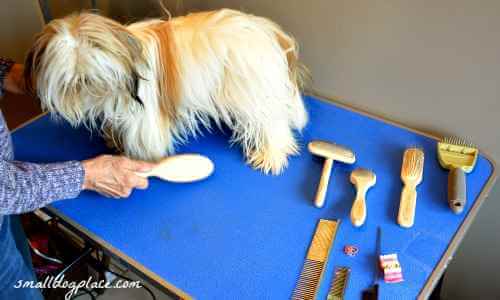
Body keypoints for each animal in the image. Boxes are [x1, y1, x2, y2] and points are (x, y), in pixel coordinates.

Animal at [26, 9, 308, 175]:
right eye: (64, 57)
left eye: (94, 47)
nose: (83, 77)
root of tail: (268, 31)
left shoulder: (145, 116)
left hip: (252, 91)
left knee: (271, 125)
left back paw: (271, 155)